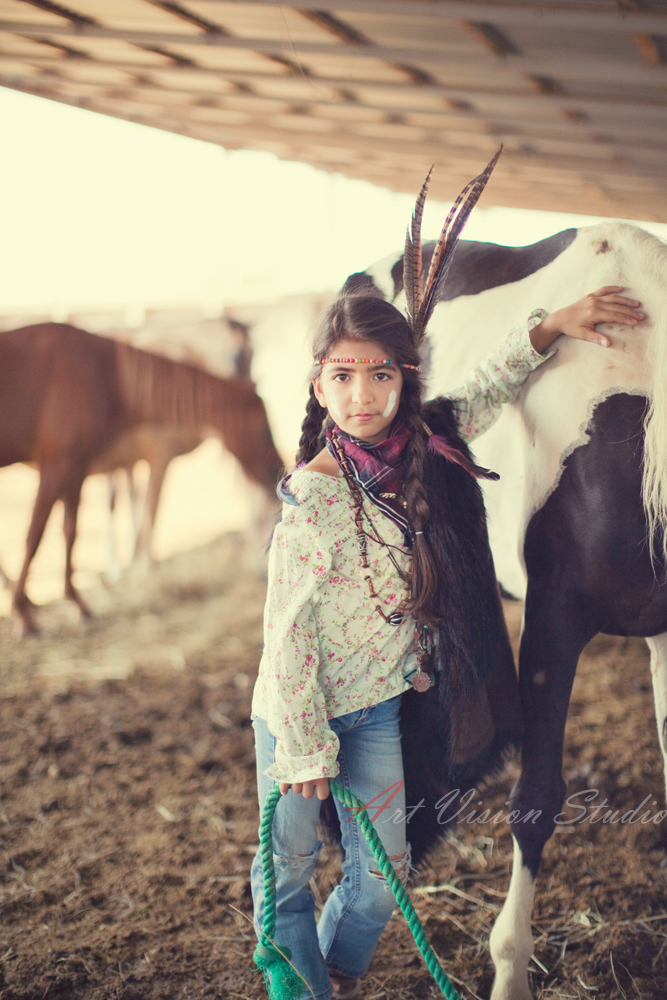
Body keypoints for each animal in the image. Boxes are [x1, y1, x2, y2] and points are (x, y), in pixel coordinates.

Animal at [0, 324, 284, 628]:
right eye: (264, 431)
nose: (278, 471)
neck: (108, 376)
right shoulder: (62, 465)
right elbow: (35, 535)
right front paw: (22, 613)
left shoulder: (76, 468)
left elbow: (70, 532)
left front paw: (77, 603)